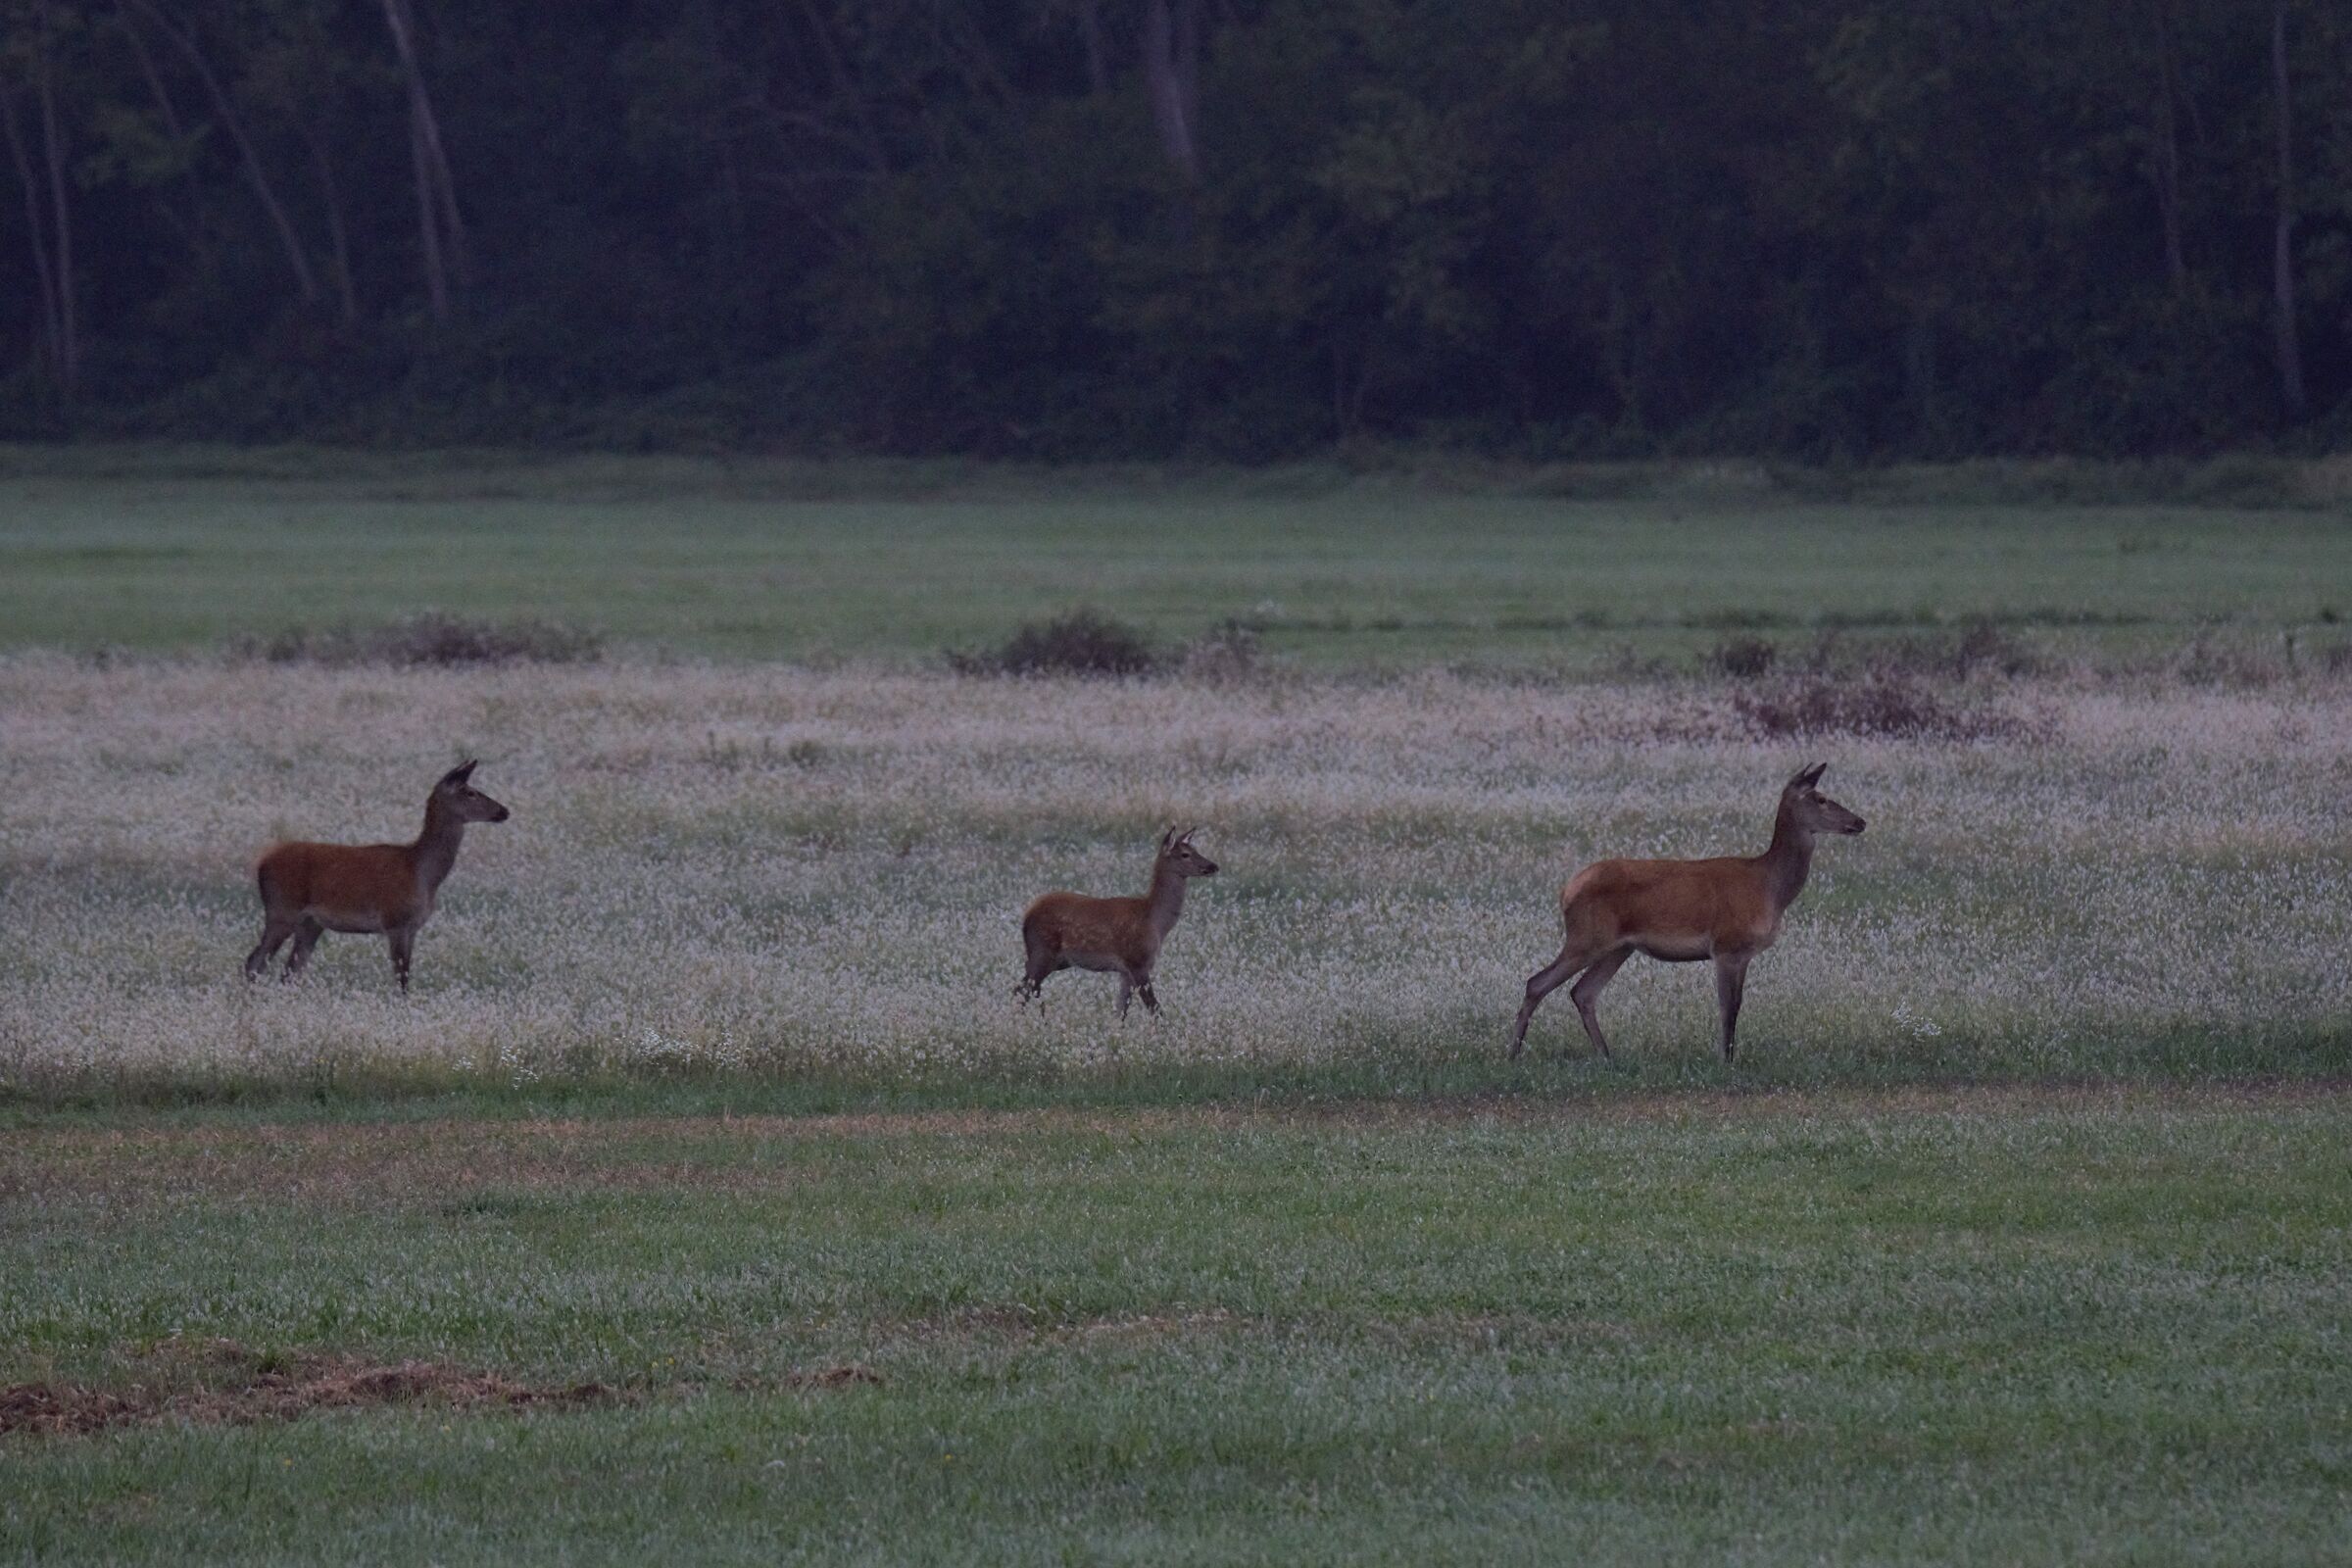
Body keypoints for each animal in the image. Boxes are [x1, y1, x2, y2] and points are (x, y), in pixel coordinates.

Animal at [244, 760, 511, 991]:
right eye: (469, 792)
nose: (504, 810)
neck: (422, 873)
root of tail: (262, 861)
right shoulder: (395, 921)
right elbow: (402, 979)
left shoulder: (412, 927)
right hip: (281, 910)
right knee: (254, 961)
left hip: (311, 923)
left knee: (289, 970)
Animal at [1016, 826, 1219, 1018]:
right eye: (1185, 854)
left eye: (1195, 849)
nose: (1214, 866)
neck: (1155, 921)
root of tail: (1028, 913)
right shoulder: (1137, 960)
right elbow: (1154, 1008)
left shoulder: (1125, 971)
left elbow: (1121, 1011)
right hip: (1042, 950)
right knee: (1023, 989)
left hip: (1054, 959)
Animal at [1510, 763, 1865, 1064]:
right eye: (1821, 798)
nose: (1860, 822)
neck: (1770, 889)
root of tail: (1566, 890)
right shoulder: (1727, 946)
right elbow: (1728, 1007)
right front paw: (1726, 1061)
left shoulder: (1742, 953)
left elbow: (1736, 1005)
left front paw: (1728, 1057)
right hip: (1586, 937)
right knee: (1537, 982)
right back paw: (1513, 1055)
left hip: (1619, 948)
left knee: (1582, 992)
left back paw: (1607, 1057)